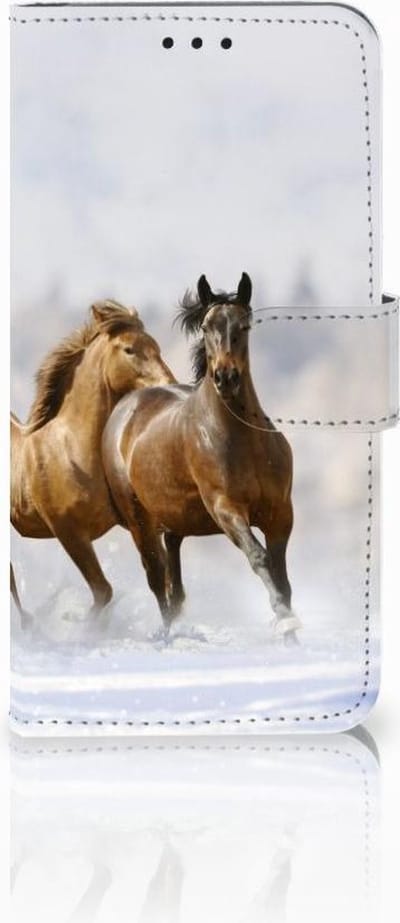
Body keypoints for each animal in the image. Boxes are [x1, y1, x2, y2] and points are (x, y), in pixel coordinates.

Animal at [11, 300, 175, 620]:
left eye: (156, 346)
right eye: (129, 349)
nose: (169, 384)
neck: (72, 450)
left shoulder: (137, 521)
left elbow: (160, 577)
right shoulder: (69, 532)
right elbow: (103, 591)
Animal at [102, 274, 301, 641]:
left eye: (244, 325)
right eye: (207, 326)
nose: (226, 377)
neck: (244, 441)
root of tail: (125, 407)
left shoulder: (281, 513)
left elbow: (281, 575)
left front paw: (291, 632)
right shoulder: (226, 509)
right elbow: (259, 558)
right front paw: (284, 621)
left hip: (174, 520)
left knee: (173, 579)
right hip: (139, 520)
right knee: (157, 577)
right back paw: (167, 636)